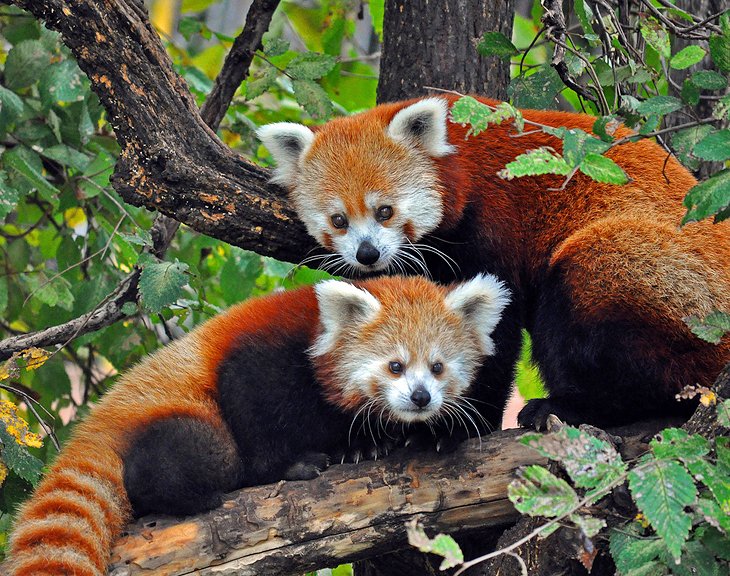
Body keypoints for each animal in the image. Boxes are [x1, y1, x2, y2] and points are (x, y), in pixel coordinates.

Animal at [2, 274, 510, 576]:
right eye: (395, 366)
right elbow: (250, 406)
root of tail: (99, 424)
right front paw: (290, 467)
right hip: (181, 418)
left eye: (438, 368)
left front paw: (385, 442)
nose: (421, 399)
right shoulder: (266, 354)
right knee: (184, 456)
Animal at [256, 94, 728, 428]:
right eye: (338, 220)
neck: (460, 156)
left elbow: (495, 329)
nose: (367, 254)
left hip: (659, 284)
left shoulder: (494, 218)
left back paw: (572, 407)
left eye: (385, 211)